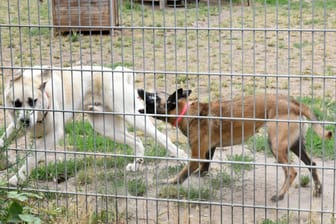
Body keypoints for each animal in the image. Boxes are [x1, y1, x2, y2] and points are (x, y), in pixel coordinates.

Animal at [0, 65, 186, 185]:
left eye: (33, 101)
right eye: (16, 103)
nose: (25, 121)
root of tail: (117, 74)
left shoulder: (53, 135)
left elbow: (32, 157)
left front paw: (17, 179)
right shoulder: (15, 127)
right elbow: (3, 140)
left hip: (134, 118)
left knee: (162, 138)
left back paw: (183, 158)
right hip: (105, 127)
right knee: (137, 141)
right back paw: (136, 164)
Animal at [138, 89, 332, 201]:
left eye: (152, 97)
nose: (139, 89)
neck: (187, 112)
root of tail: (293, 102)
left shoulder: (196, 154)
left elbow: (183, 173)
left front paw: (171, 181)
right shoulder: (208, 149)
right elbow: (205, 164)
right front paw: (201, 173)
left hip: (276, 146)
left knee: (291, 172)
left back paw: (280, 195)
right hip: (293, 145)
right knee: (312, 164)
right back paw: (318, 189)